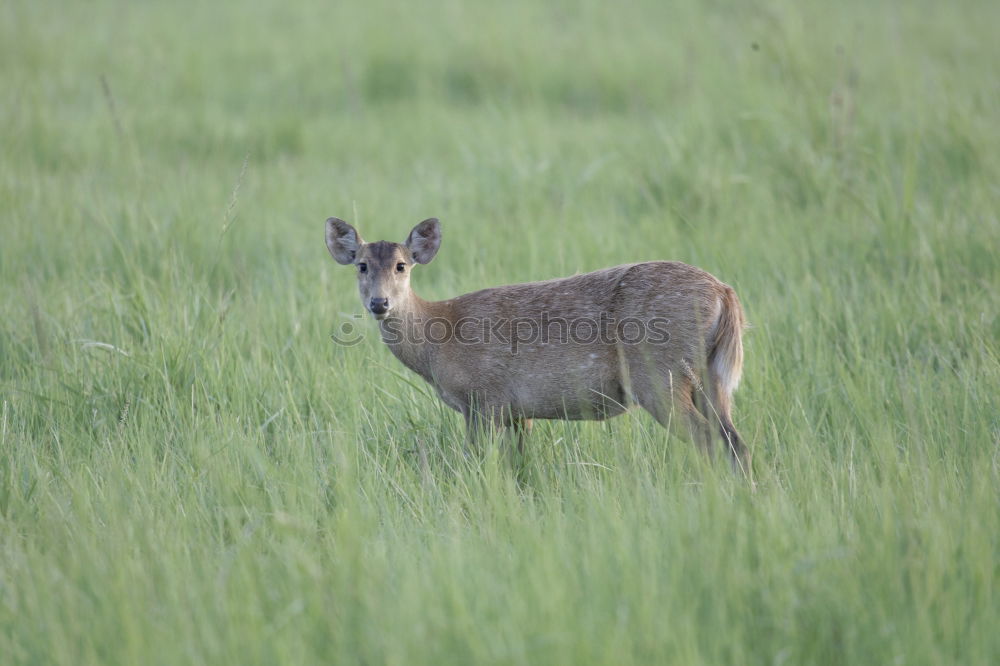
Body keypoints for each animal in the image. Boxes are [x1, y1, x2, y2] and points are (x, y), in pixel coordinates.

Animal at [328, 217, 752, 472]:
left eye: (401, 265)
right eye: (362, 265)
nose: (379, 303)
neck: (439, 342)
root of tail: (724, 292)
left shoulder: (484, 399)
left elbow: (477, 462)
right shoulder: (519, 411)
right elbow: (521, 467)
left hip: (659, 374)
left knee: (710, 441)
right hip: (711, 377)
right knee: (735, 443)